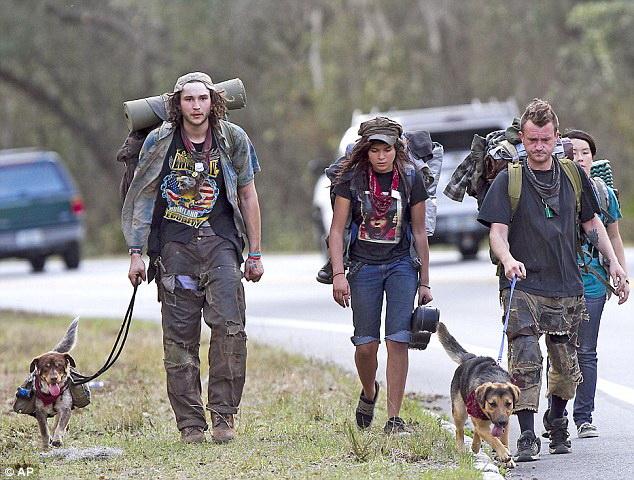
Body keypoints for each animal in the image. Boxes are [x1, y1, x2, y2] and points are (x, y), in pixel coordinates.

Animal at [29, 316, 79, 448]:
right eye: (45, 367)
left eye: (59, 366)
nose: (54, 378)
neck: (51, 396)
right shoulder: (40, 413)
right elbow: (44, 431)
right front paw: (46, 444)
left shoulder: (65, 409)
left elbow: (60, 427)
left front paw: (57, 440)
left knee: (57, 424)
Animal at [434, 320, 520, 466]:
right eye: (492, 403)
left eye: (508, 403)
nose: (502, 422)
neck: (495, 378)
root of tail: (470, 358)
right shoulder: (483, 425)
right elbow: (493, 438)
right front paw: (503, 453)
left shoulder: (505, 421)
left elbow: (503, 440)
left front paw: (508, 458)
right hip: (459, 411)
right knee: (460, 431)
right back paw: (462, 449)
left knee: (476, 430)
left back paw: (475, 445)